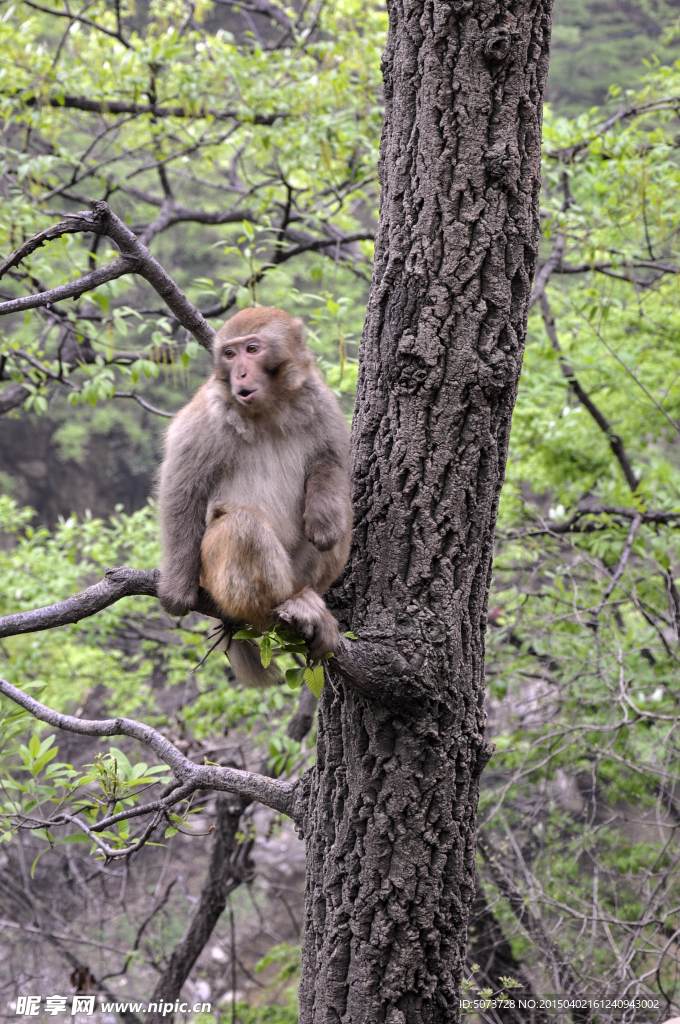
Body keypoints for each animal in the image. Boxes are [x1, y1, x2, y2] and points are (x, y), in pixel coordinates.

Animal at [157, 305, 352, 688]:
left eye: (252, 349)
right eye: (229, 354)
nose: (240, 373)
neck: (269, 409)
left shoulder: (320, 399)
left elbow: (331, 460)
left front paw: (324, 517)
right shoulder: (206, 417)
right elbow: (183, 489)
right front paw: (176, 590)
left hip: (298, 570)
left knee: (341, 524)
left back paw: (308, 598)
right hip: (213, 575)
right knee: (242, 526)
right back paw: (277, 609)